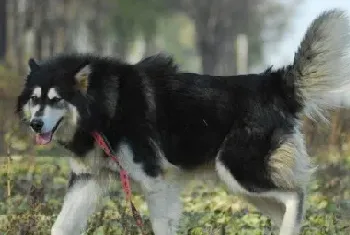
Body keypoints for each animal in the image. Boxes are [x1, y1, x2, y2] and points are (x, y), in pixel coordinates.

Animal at [16, 9, 350, 235]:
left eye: (57, 99)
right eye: (35, 99)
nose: (36, 124)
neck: (105, 106)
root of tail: (272, 83)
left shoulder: (156, 180)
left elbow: (162, 225)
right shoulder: (88, 179)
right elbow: (61, 226)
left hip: (238, 170)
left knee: (296, 196)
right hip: (240, 183)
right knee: (285, 206)